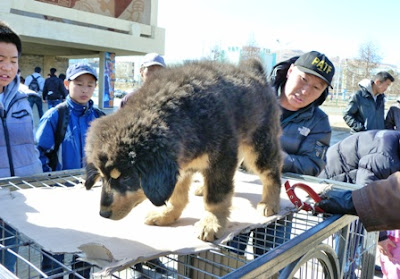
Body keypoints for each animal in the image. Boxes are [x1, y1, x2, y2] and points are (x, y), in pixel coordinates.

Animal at [85, 59, 282, 243]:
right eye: (101, 176)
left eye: (126, 177)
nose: (103, 214)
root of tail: (256, 73)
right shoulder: (180, 164)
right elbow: (177, 195)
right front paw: (166, 215)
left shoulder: (221, 156)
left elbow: (216, 197)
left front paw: (211, 222)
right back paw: (203, 188)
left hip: (259, 146)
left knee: (271, 172)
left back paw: (269, 202)